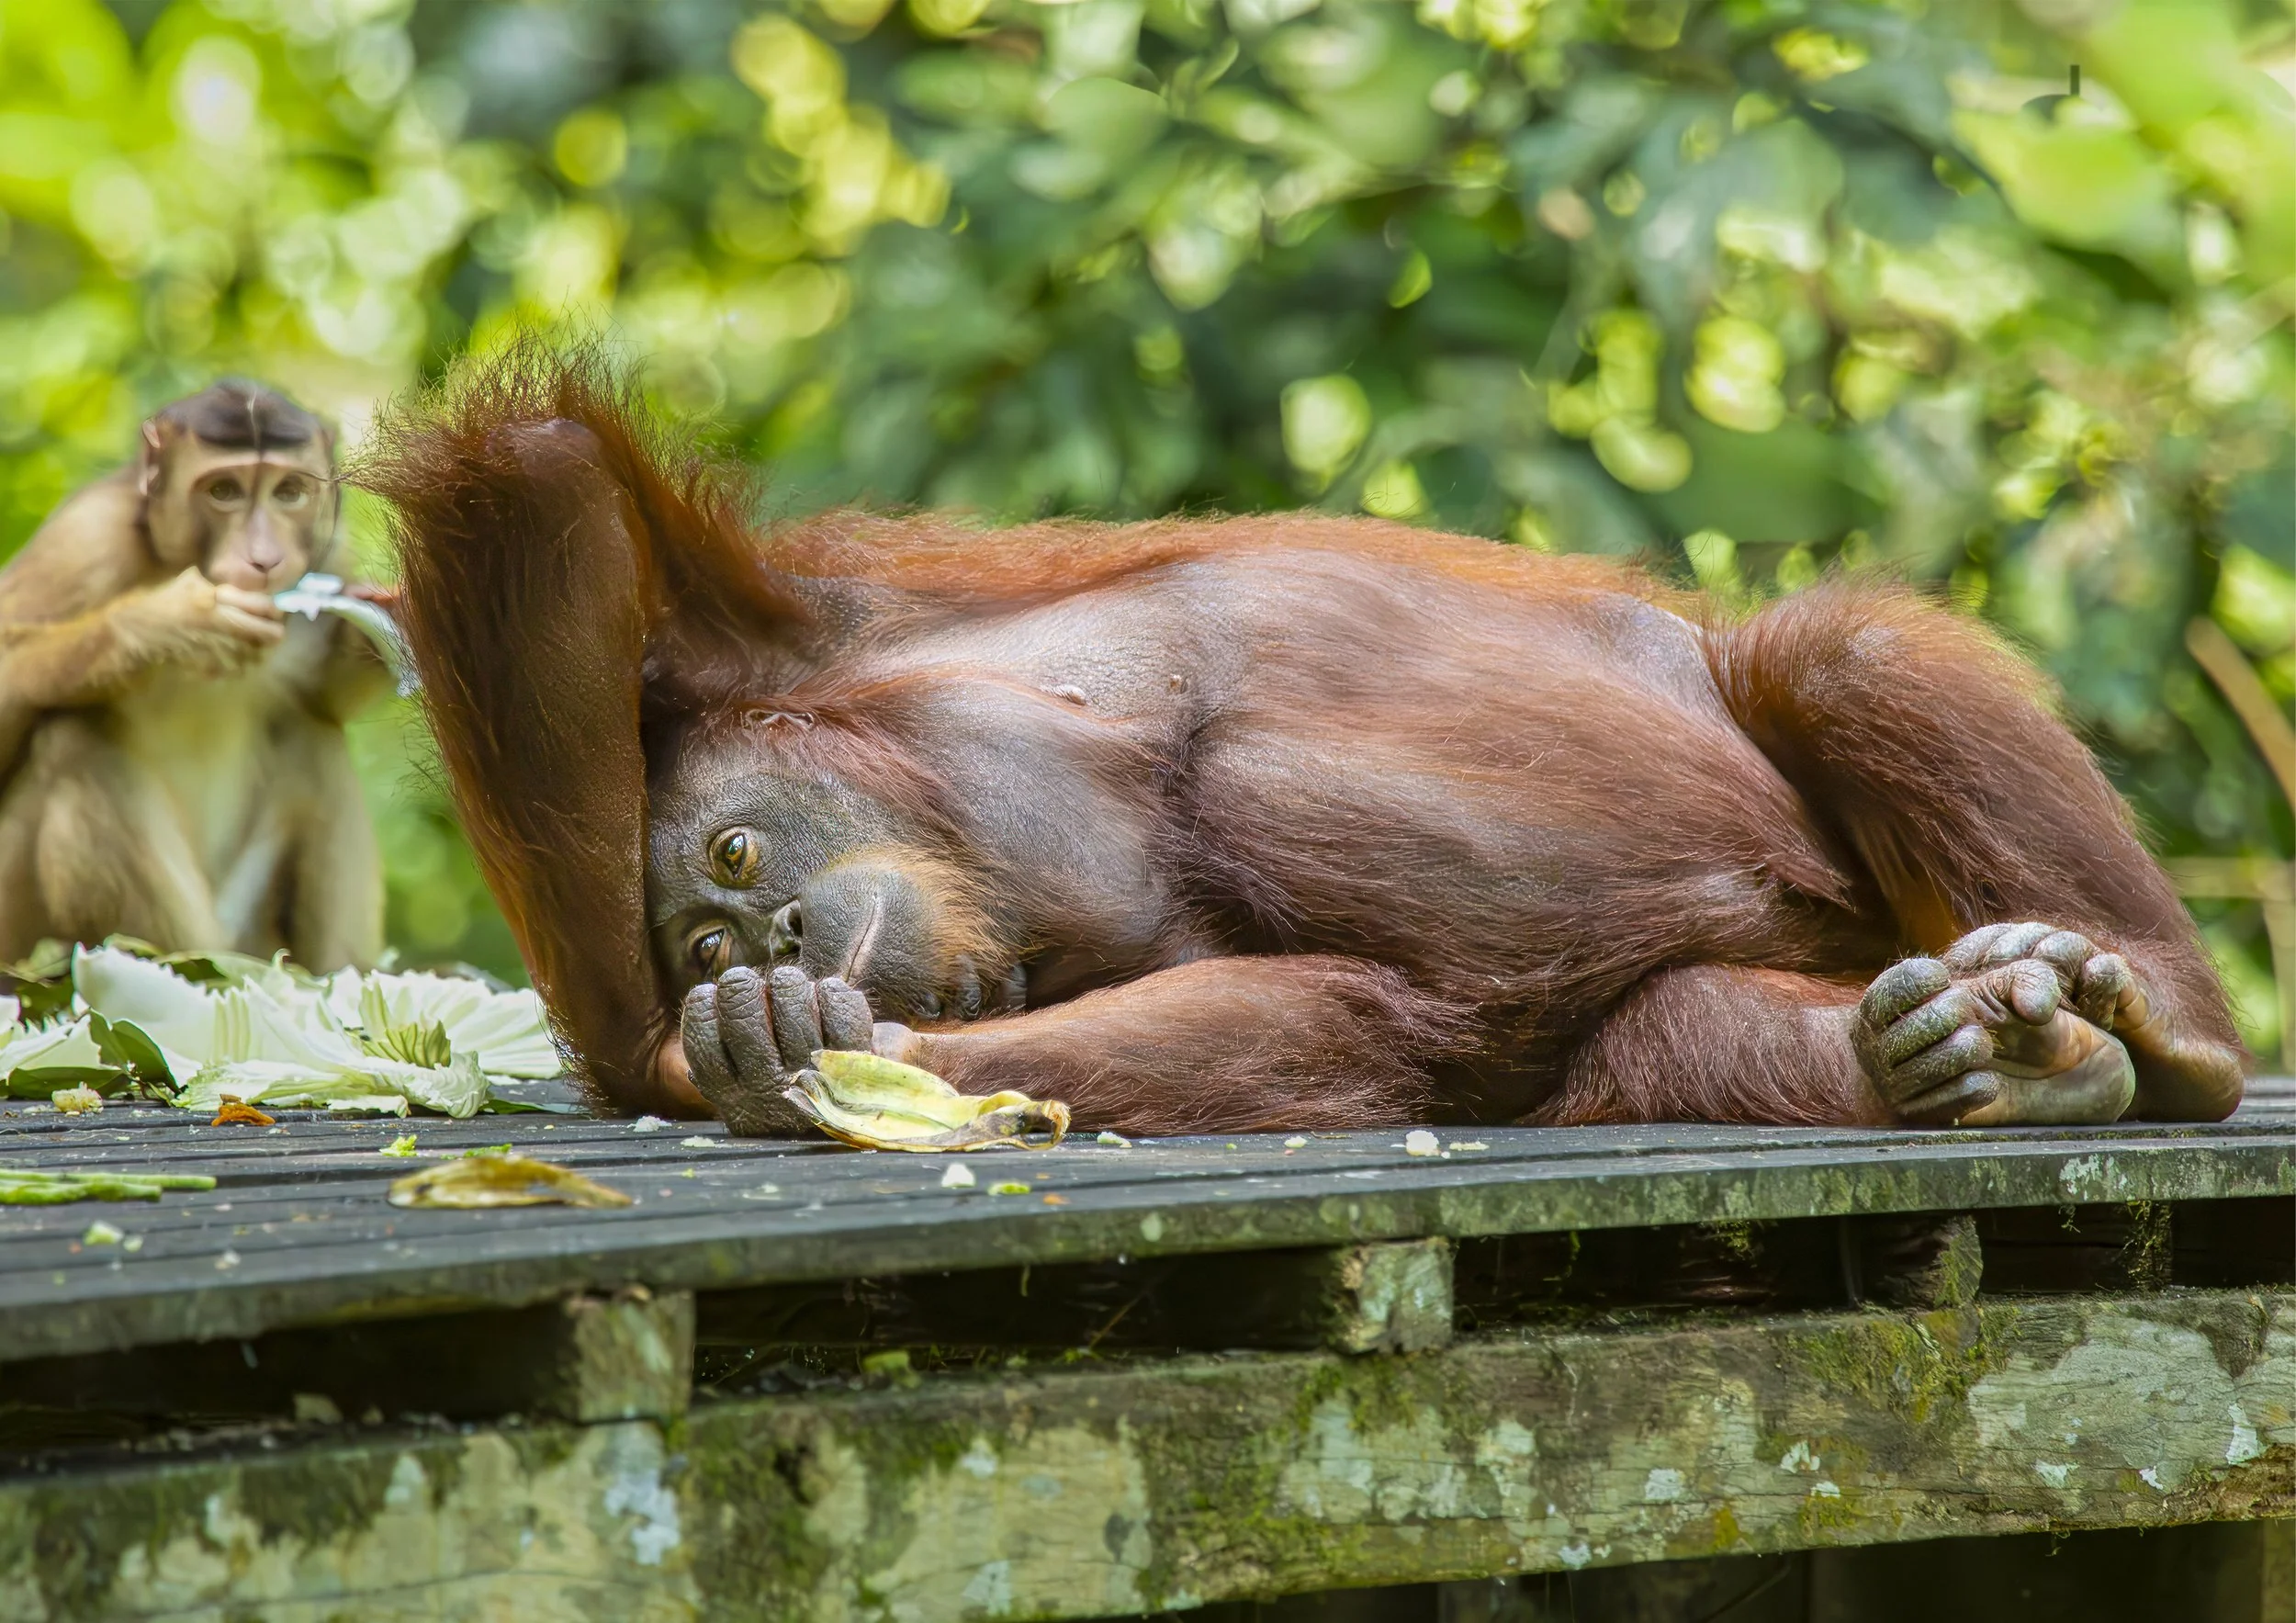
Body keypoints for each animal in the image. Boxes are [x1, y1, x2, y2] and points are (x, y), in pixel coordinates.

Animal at [0, 380, 389, 970]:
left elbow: (322, 699)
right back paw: (181, 965)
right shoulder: (83, 539)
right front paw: (167, 625)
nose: (264, 559)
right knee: (74, 737)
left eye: (289, 492)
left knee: (314, 740)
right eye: (223, 491)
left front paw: (379, 633)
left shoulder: (331, 556)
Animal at [367, 345, 2245, 1135]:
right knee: (1670, 1025)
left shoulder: (817, 613)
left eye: (738, 856)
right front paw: (756, 1050)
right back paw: (1976, 1056)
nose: (758, 938)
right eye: (702, 934)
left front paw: (714, 1051)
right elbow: (1334, 1012)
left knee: (1836, 649)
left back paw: (2168, 1025)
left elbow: (539, 490)